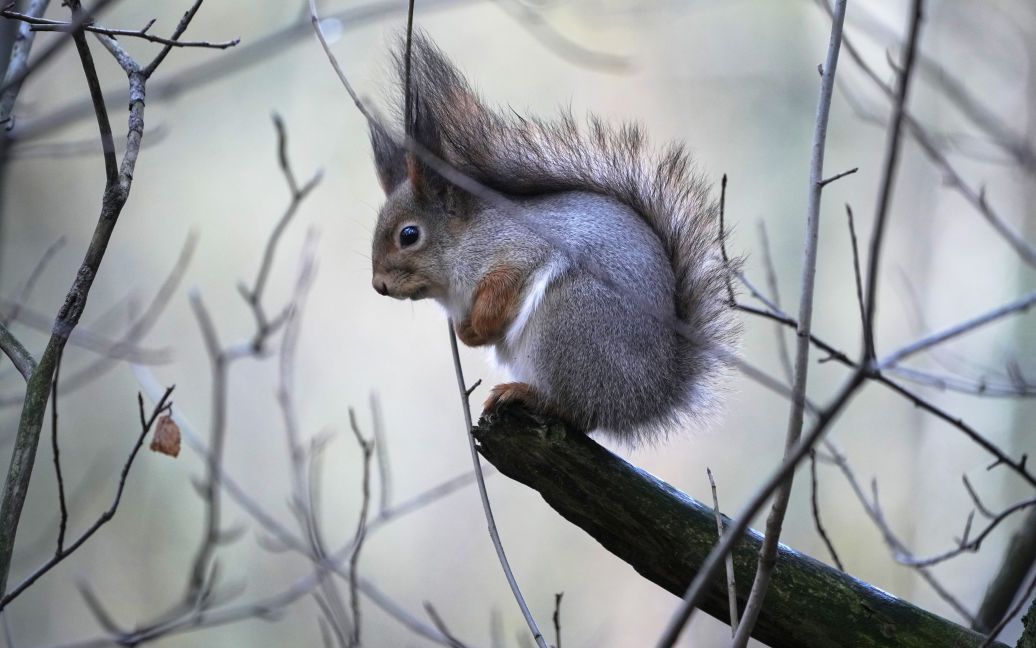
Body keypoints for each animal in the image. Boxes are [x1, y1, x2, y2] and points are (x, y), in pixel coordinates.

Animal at [364, 34, 737, 443]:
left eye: (409, 235)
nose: (379, 285)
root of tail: (647, 399)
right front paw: (467, 334)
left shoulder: (520, 250)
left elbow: (504, 287)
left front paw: (481, 323)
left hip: (569, 319)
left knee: (579, 411)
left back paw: (524, 393)